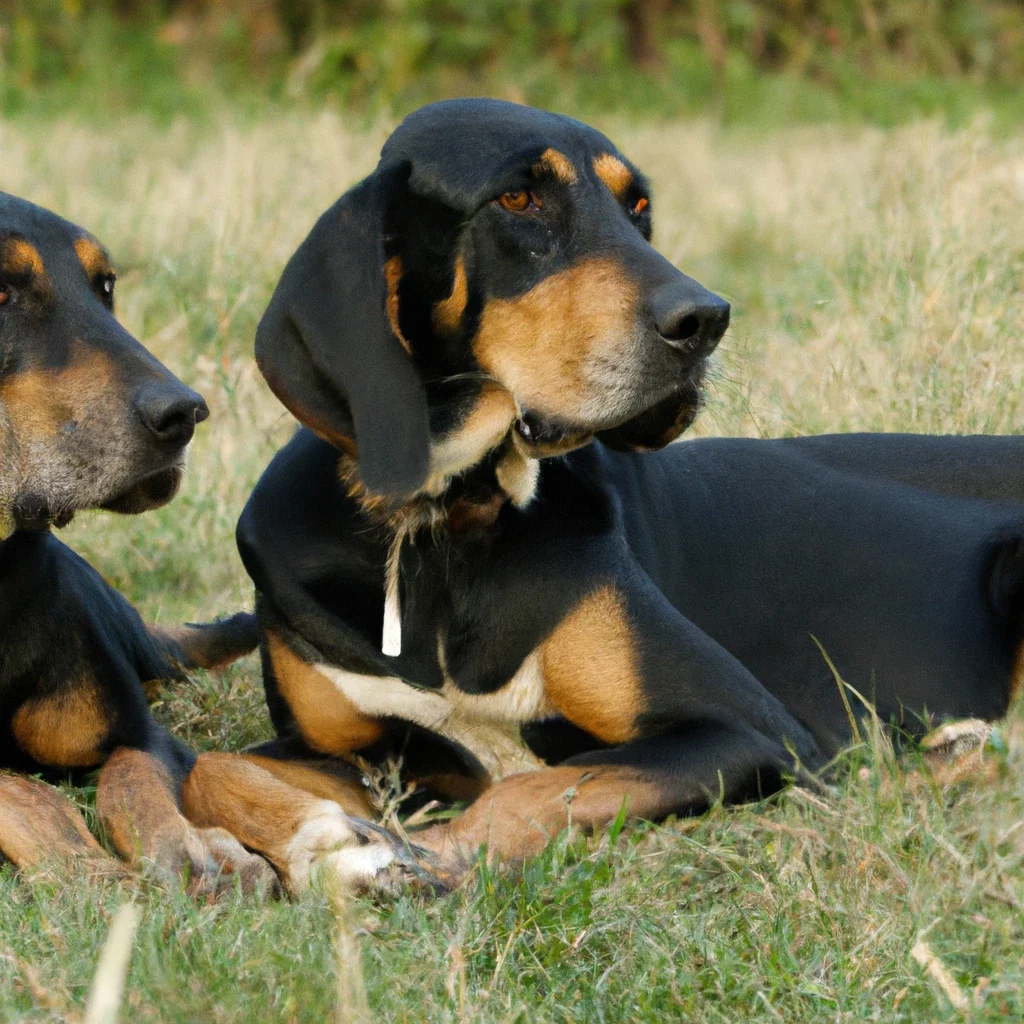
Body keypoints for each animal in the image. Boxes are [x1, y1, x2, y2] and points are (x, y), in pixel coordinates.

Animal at [0, 193, 282, 897]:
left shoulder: (144, 738)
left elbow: (133, 778)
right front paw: (84, 866)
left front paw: (190, 847)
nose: (184, 414)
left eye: (105, 287)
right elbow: (18, 792)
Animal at [184, 97, 1024, 888]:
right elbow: (207, 767)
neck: (447, 519)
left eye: (638, 208)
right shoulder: (351, 745)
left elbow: (530, 787)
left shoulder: (744, 727)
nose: (705, 319)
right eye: (519, 198)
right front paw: (322, 838)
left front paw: (429, 856)